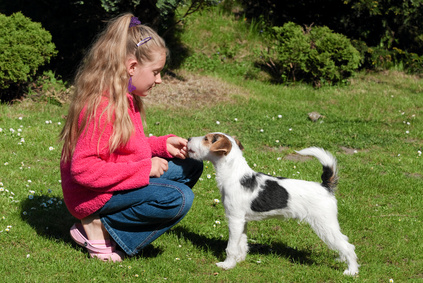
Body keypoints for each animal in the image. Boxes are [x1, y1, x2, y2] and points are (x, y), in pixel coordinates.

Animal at [187, 134, 360, 278]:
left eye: (207, 139)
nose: (188, 139)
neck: (235, 175)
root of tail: (325, 187)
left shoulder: (234, 219)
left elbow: (231, 247)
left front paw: (227, 264)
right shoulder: (242, 221)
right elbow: (242, 242)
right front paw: (240, 259)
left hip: (324, 225)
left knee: (348, 246)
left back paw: (351, 271)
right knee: (343, 241)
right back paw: (341, 259)